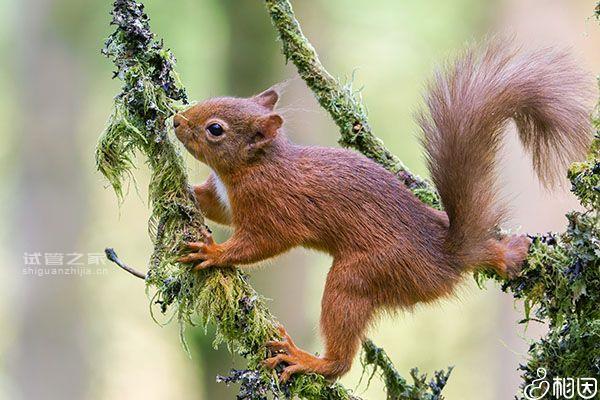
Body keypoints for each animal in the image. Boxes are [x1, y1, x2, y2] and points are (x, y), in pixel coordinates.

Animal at [172, 41, 592, 382]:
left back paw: (311, 362)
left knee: (341, 352)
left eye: (215, 129)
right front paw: (183, 191)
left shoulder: (274, 206)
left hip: (362, 275)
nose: (175, 120)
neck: (254, 166)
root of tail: (449, 257)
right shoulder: (227, 198)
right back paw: (509, 254)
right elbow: (215, 207)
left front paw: (214, 252)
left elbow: (261, 242)